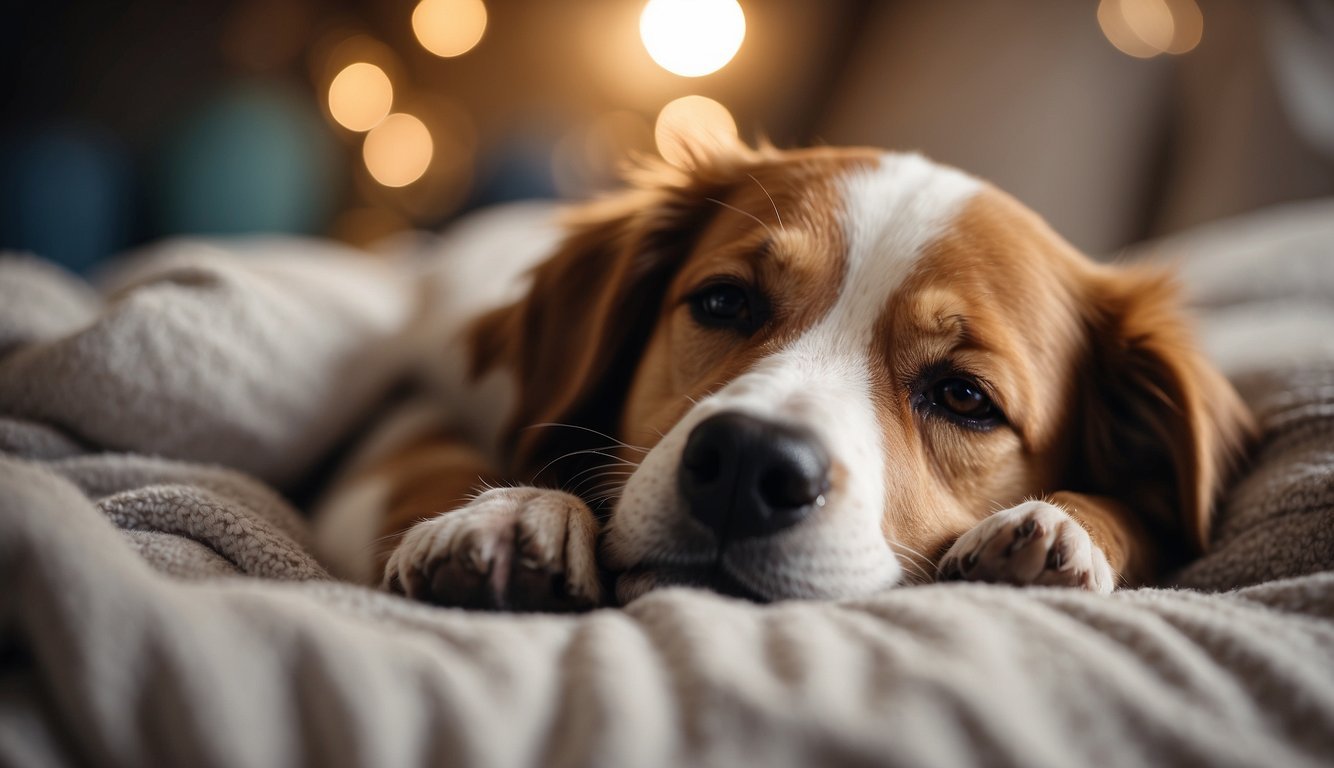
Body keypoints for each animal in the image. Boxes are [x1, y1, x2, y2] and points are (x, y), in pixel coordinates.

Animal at [309, 144, 1248, 608]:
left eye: (964, 396)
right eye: (725, 302)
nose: (749, 466)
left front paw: (1065, 531)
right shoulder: (401, 428)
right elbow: (437, 464)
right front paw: (508, 514)